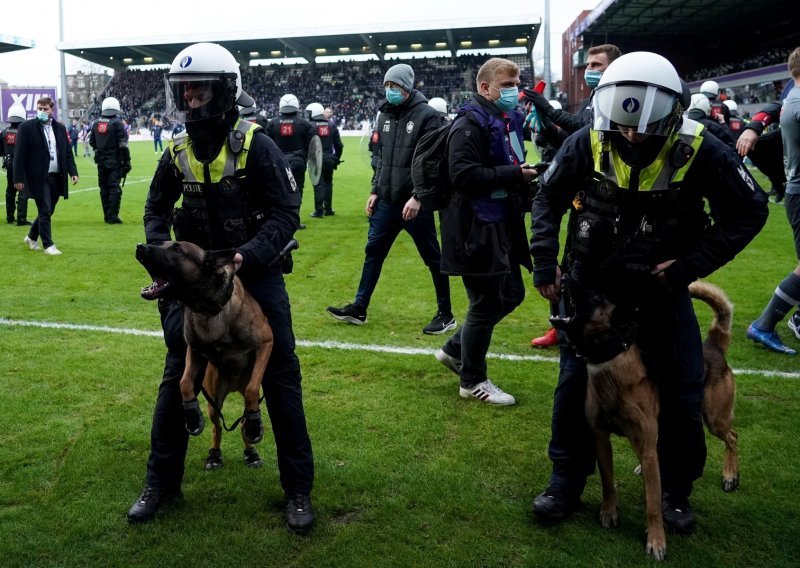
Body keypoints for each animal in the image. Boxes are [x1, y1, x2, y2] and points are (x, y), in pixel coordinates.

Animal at [136, 242, 274, 468]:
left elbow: (253, 390)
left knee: (243, 420)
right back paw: (214, 455)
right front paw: (191, 413)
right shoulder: (194, 351)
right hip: (213, 402)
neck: (208, 308)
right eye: (161, 243)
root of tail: (234, 386)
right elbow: (184, 382)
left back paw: (251, 447)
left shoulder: (266, 344)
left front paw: (255, 422)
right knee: (217, 427)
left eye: (177, 250)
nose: (140, 246)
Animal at [552, 280, 740, 560]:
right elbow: (608, 483)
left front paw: (656, 540)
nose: (564, 279)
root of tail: (714, 344)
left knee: (732, 437)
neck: (611, 359)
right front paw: (609, 512)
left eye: (596, 296)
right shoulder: (601, 439)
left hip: (714, 418)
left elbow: (653, 503)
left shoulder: (643, 440)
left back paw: (730, 475)